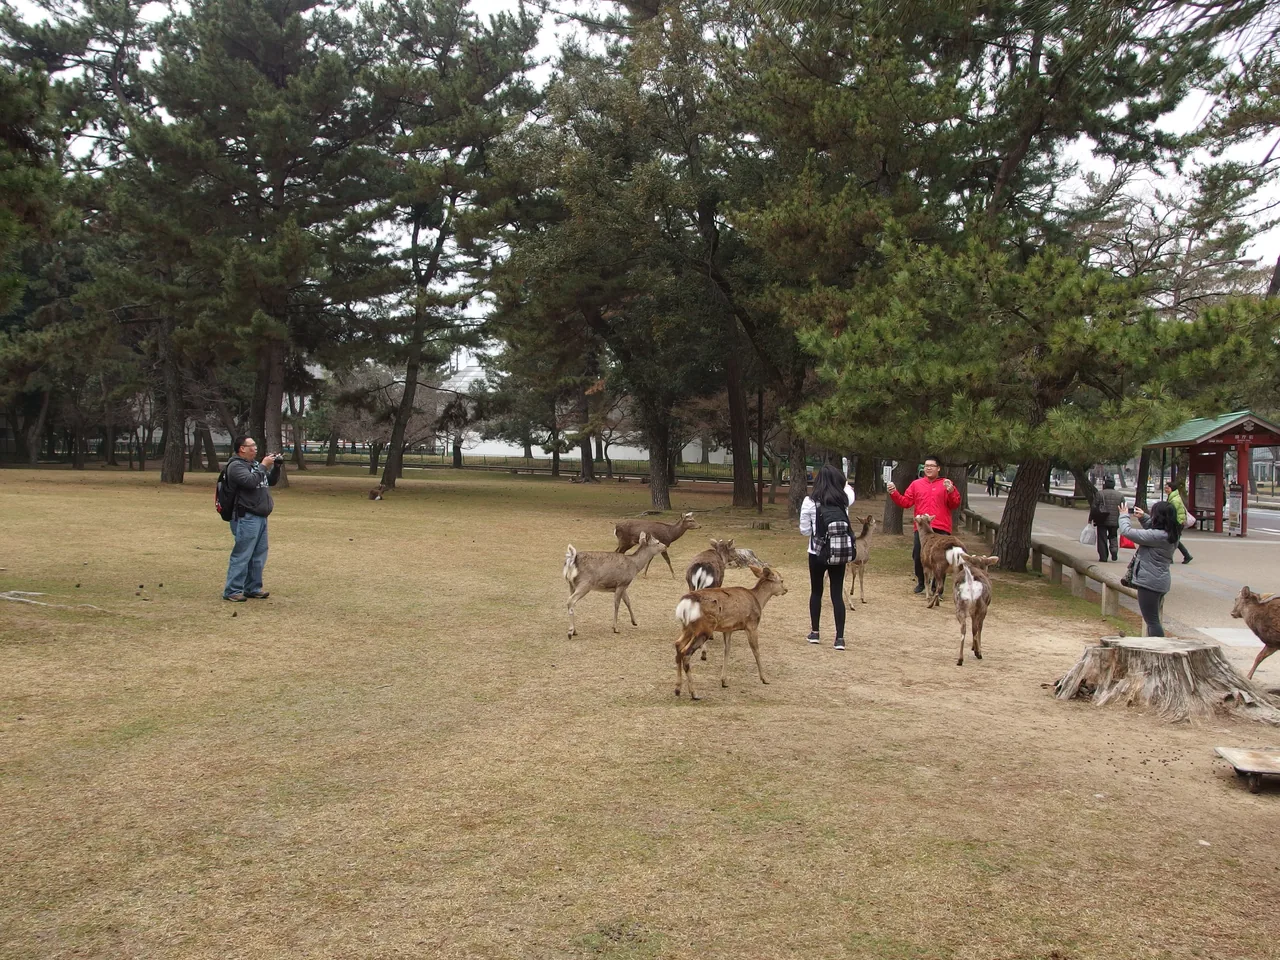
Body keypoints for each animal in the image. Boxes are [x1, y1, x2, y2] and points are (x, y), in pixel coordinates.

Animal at [673, 564, 787, 700]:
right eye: (782, 580)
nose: (785, 590)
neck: (758, 600)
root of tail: (685, 604)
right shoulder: (752, 625)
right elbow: (756, 651)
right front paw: (764, 679)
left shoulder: (728, 629)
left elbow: (726, 650)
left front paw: (724, 681)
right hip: (704, 628)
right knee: (686, 652)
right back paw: (694, 693)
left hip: (687, 627)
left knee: (678, 645)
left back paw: (677, 689)